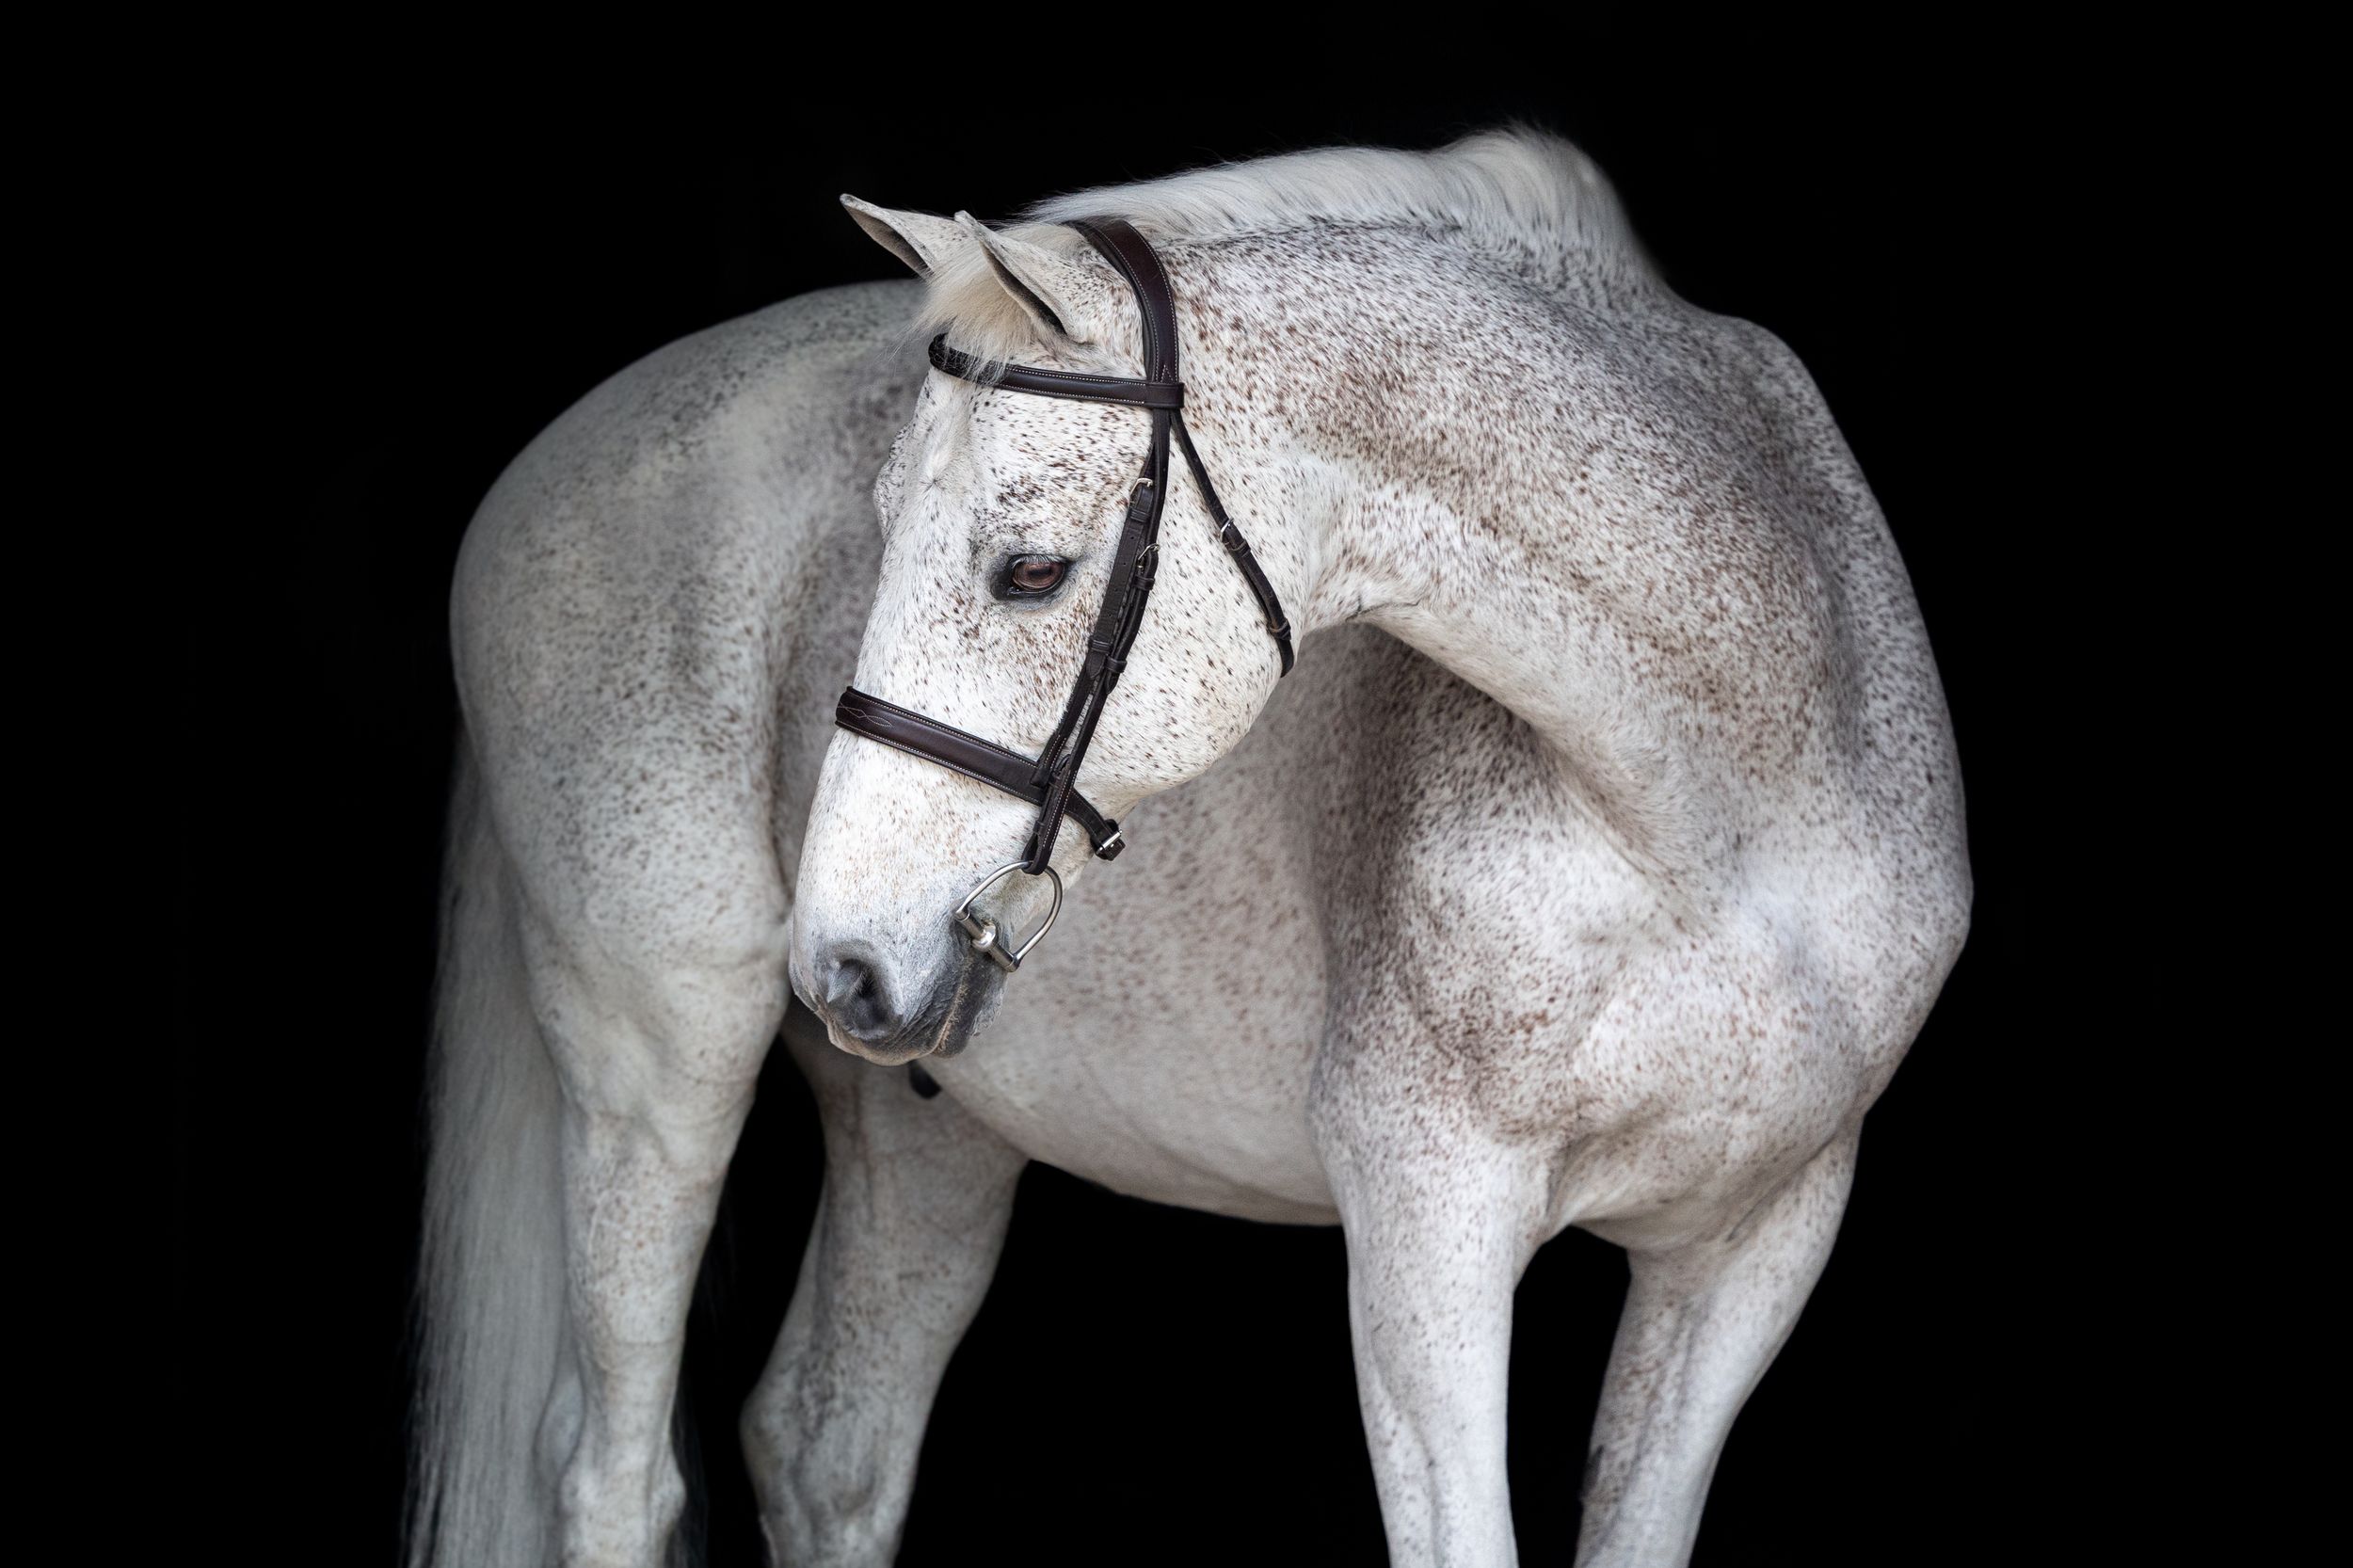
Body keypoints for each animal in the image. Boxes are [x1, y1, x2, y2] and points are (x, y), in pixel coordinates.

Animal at [411, 127, 1969, 1568]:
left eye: (1029, 572)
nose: (841, 958)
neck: (1727, 812)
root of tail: (539, 465)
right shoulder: (1430, 1236)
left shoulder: (1749, 1249)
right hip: (658, 1069)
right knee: (613, 1473)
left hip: (928, 1128)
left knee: (823, 1444)